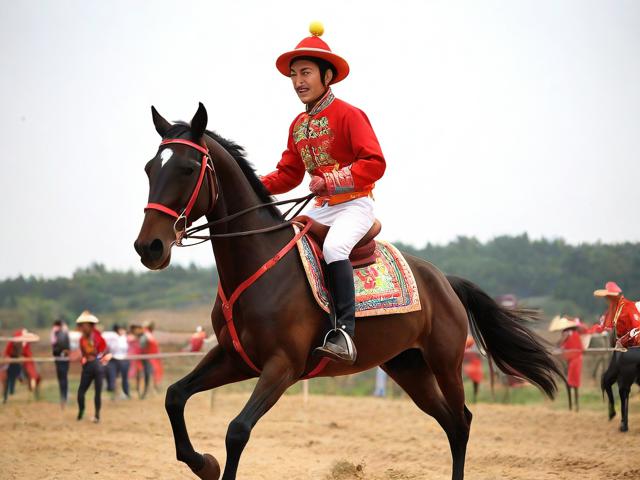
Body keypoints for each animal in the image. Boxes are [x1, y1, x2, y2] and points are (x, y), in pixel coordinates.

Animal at [134, 103, 563, 480]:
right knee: (450, 421)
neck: (259, 261)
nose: (148, 247)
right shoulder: (236, 358)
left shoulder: (281, 367)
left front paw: (211, 462)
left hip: (444, 363)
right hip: (409, 368)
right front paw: (204, 464)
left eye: (188, 169)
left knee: (461, 422)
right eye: (150, 168)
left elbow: (236, 430)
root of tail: (445, 280)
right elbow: (174, 395)